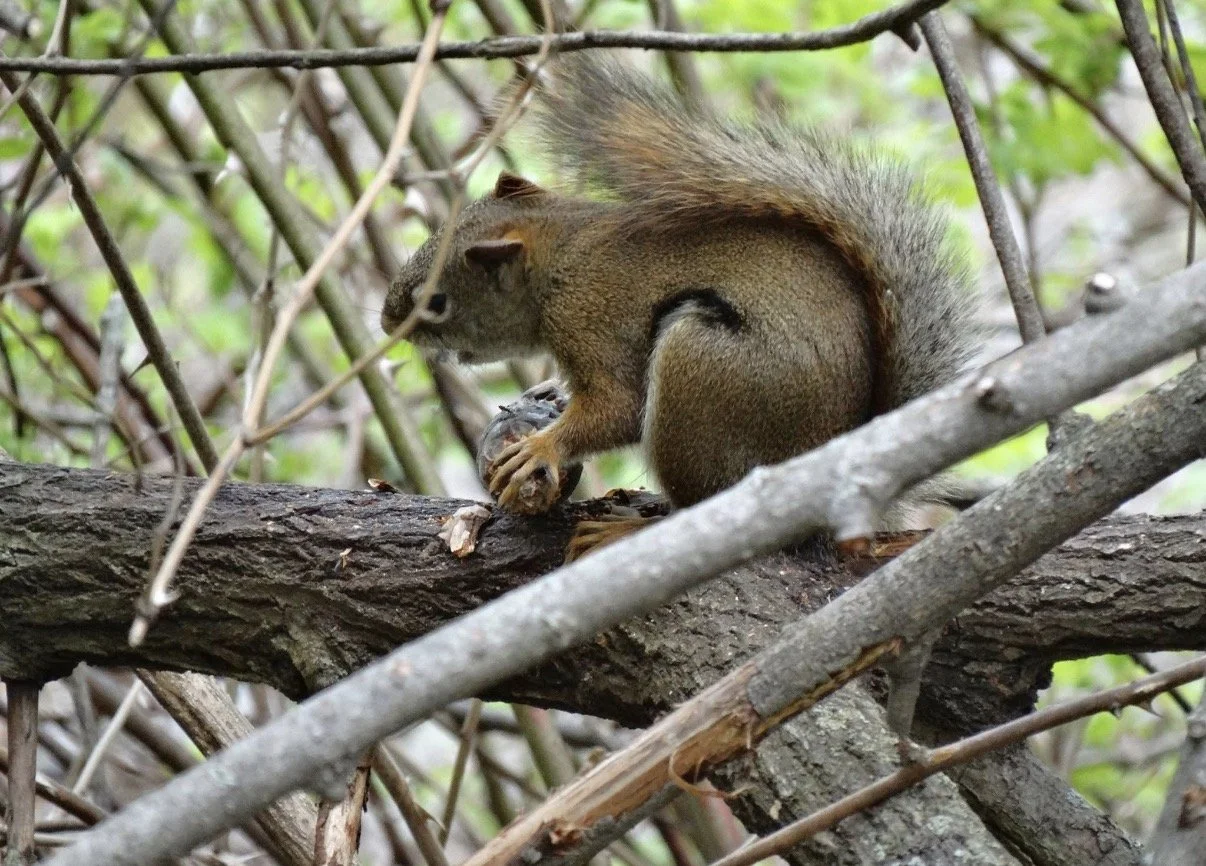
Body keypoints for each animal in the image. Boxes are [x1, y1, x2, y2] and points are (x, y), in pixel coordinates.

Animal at [382, 54, 980, 559]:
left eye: (437, 302)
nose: (388, 324)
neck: (560, 255)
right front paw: (549, 392)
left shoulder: (588, 317)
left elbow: (619, 407)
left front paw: (543, 447)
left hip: (701, 372)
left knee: (701, 508)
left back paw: (627, 531)